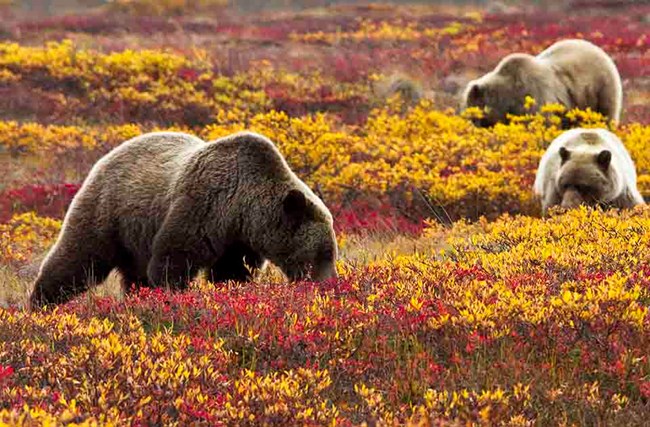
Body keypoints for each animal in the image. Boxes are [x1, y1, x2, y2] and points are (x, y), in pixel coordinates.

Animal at [29, 130, 340, 308]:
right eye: (322, 255)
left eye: (330, 253)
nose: (328, 284)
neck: (242, 210)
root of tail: (109, 154)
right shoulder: (203, 208)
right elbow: (174, 261)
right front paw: (172, 298)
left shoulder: (238, 242)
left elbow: (232, 273)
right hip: (109, 210)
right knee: (80, 256)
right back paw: (41, 303)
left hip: (135, 237)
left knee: (132, 274)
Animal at [458, 39, 620, 127]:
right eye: (467, 109)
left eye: (474, 111)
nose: (474, 124)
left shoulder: (534, 96)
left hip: (600, 89)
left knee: (606, 115)